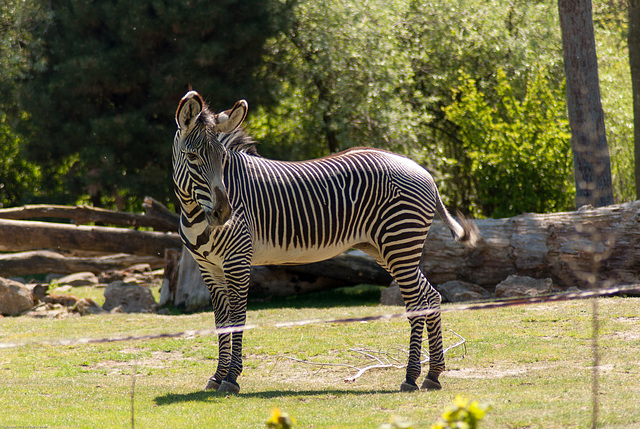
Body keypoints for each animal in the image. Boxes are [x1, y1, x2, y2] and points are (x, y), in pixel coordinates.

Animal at [172, 90, 478, 394]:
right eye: (192, 156)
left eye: (222, 158)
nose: (225, 214)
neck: (194, 211)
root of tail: (425, 173)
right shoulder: (208, 266)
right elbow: (221, 320)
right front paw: (216, 376)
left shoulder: (237, 260)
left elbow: (237, 318)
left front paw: (231, 378)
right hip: (387, 249)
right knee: (431, 296)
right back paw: (433, 375)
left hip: (399, 243)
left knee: (416, 305)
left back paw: (411, 377)